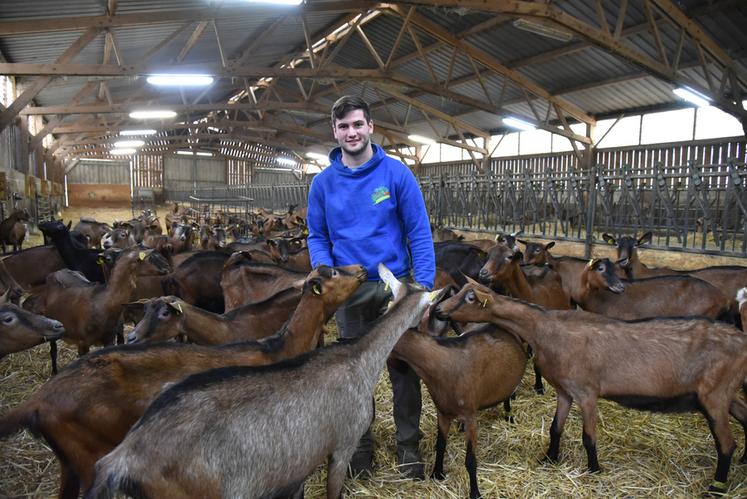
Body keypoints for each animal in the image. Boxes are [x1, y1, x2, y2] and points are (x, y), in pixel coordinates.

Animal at [0, 264, 366, 498]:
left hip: (70, 460)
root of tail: (39, 399)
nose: (361, 268)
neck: (278, 347)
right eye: (334, 272)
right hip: (88, 454)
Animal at [438, 282, 747, 496]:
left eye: (469, 298)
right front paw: (550, 459)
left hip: (714, 395)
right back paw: (744, 461)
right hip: (726, 393)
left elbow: (588, 437)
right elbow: (556, 428)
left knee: (726, 444)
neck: (546, 329)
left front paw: (594, 470)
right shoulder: (565, 390)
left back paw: (716, 488)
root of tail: (742, 342)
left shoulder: (586, 392)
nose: (439, 310)